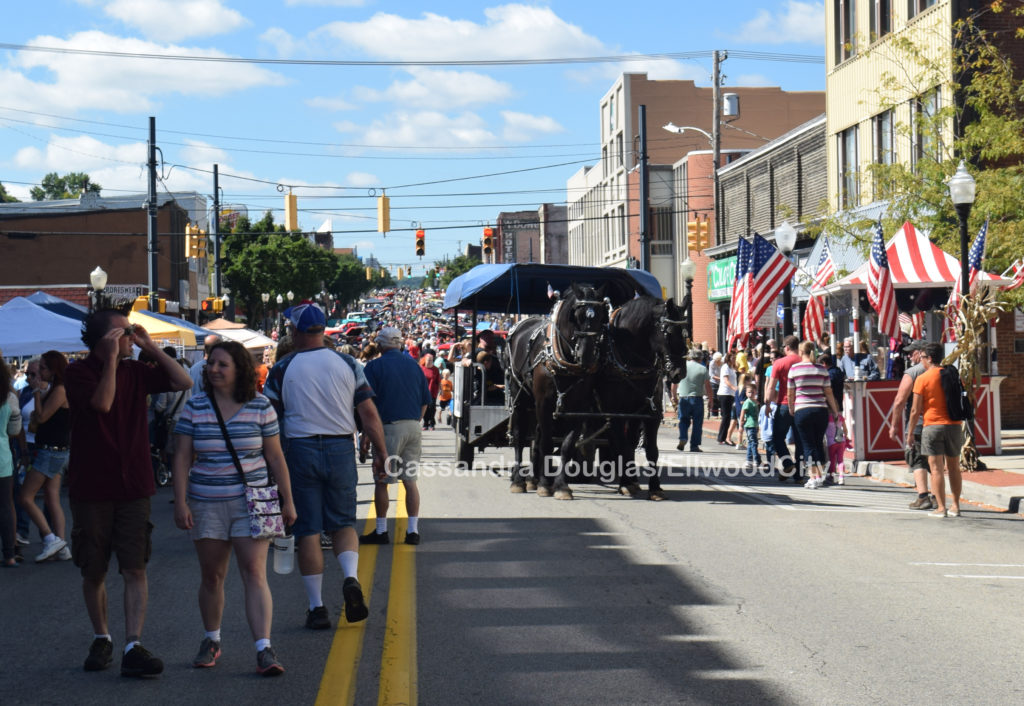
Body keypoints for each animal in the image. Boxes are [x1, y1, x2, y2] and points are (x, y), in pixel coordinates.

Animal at [503, 278, 606, 497]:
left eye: (601, 316)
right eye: (576, 316)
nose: (586, 356)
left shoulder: (579, 408)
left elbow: (566, 446)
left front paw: (560, 486)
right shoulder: (543, 402)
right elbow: (547, 443)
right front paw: (544, 485)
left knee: (537, 435)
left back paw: (533, 478)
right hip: (519, 396)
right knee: (520, 436)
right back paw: (519, 480)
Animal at [598, 295, 688, 497]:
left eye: (686, 334)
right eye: (669, 332)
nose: (679, 373)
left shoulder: (650, 411)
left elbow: (651, 450)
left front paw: (655, 487)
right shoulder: (616, 413)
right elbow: (622, 446)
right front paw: (625, 483)